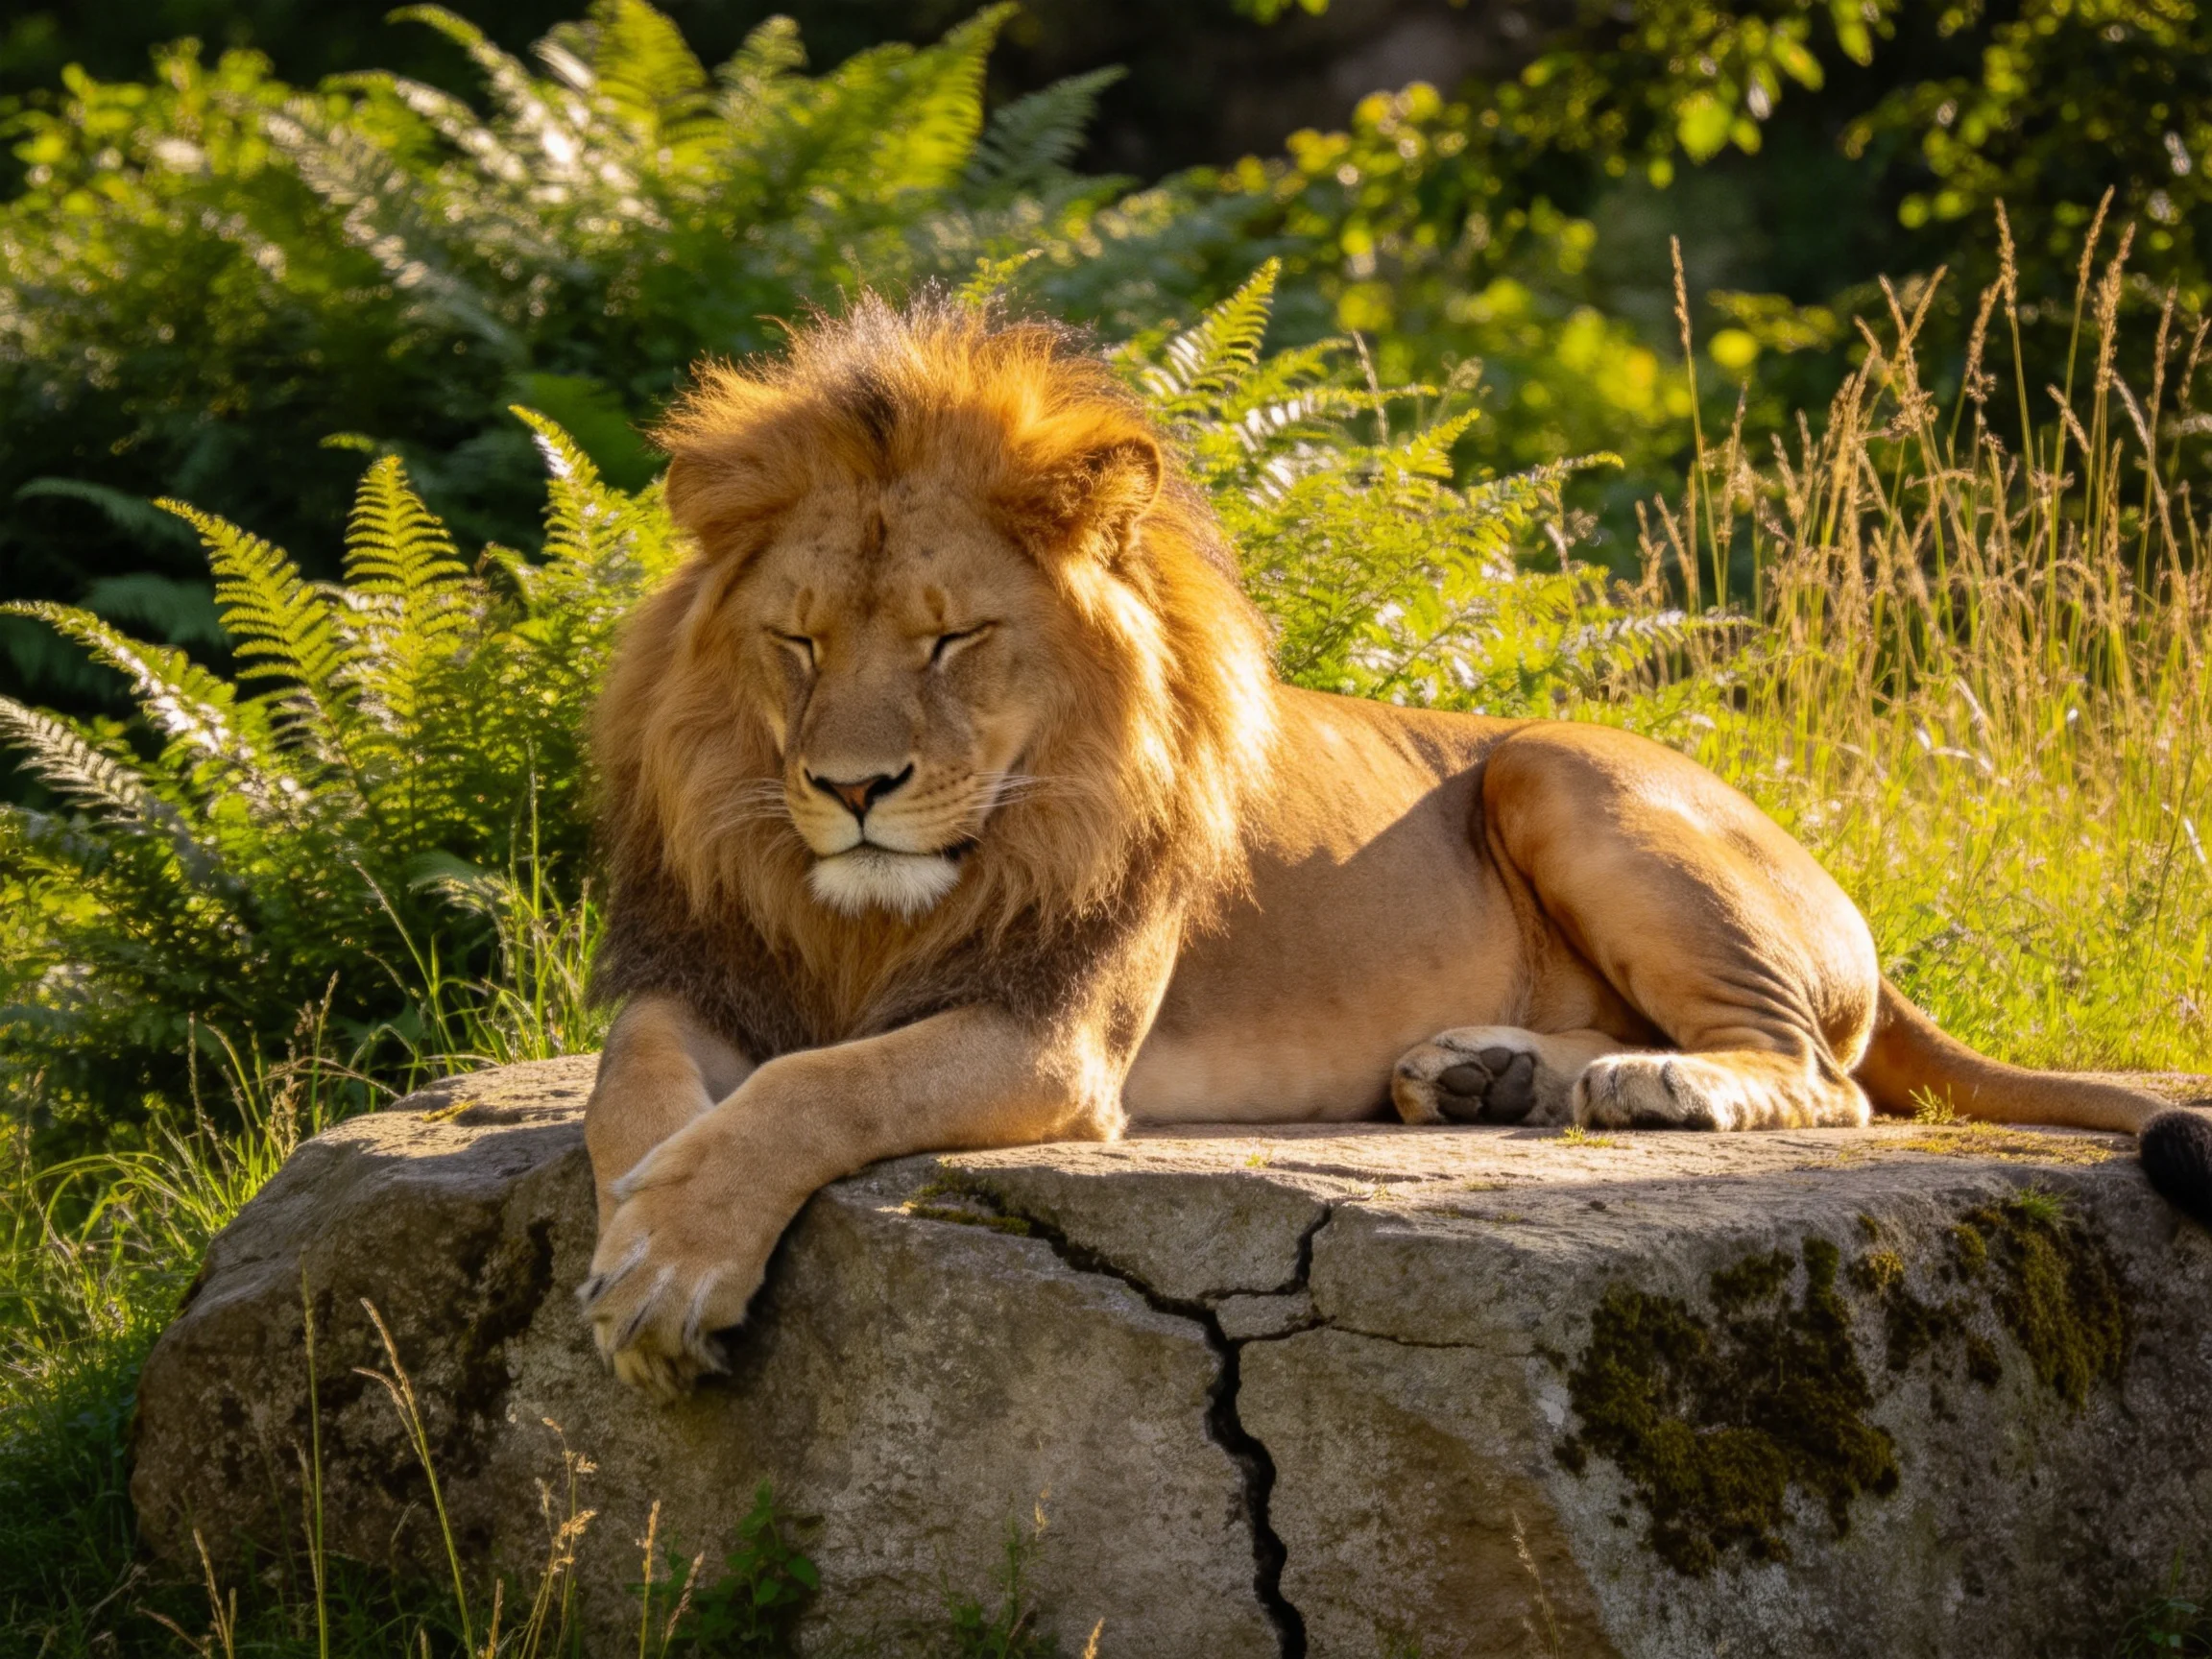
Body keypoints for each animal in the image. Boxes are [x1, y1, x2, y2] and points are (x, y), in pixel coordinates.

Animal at [578, 293, 2212, 1396]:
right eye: (796, 643)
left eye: (952, 638)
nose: (852, 787)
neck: (864, 912)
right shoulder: (708, 974)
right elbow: (633, 1085)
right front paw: (645, 1214)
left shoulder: (1052, 1037)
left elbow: (818, 1087)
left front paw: (672, 1257)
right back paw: (1492, 1075)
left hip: (1556, 762)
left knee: (1823, 1078)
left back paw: (1658, 1086)